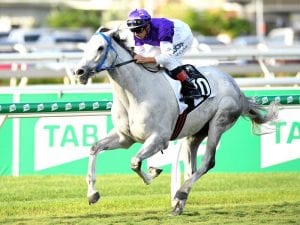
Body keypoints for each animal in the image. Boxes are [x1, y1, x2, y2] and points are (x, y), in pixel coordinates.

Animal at [74, 28, 278, 214]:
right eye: (86, 47)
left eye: (100, 48)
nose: (79, 71)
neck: (136, 94)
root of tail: (235, 86)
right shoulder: (125, 138)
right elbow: (95, 148)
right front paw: (92, 194)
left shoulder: (159, 138)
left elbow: (135, 162)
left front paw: (153, 173)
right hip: (196, 133)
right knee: (191, 167)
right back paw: (179, 204)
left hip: (218, 123)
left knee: (208, 162)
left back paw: (180, 193)